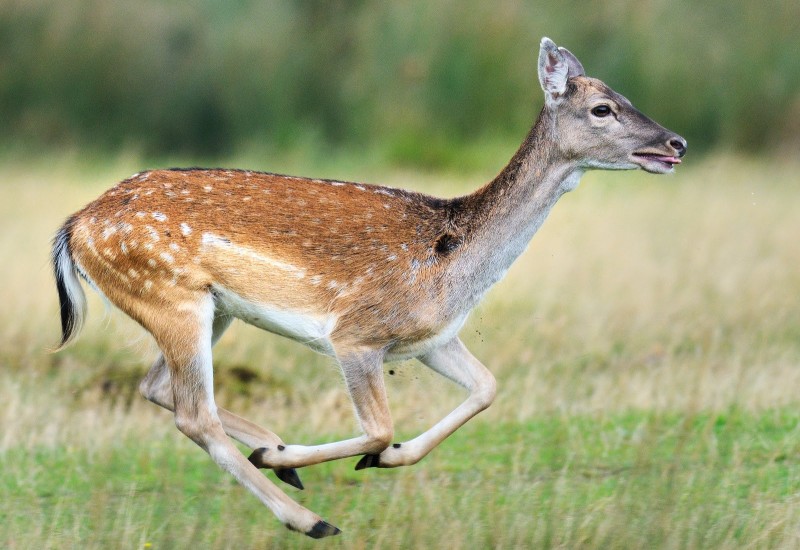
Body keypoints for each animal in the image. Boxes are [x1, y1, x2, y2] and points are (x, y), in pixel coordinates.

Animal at [51, 38, 688, 540]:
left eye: (626, 97)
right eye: (603, 108)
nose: (675, 142)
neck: (455, 264)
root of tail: (76, 226)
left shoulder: (431, 338)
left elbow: (487, 387)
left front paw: (376, 460)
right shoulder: (357, 333)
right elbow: (380, 427)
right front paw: (336, 459)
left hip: (209, 309)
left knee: (157, 387)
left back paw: (277, 456)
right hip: (169, 295)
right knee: (193, 414)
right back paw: (306, 514)